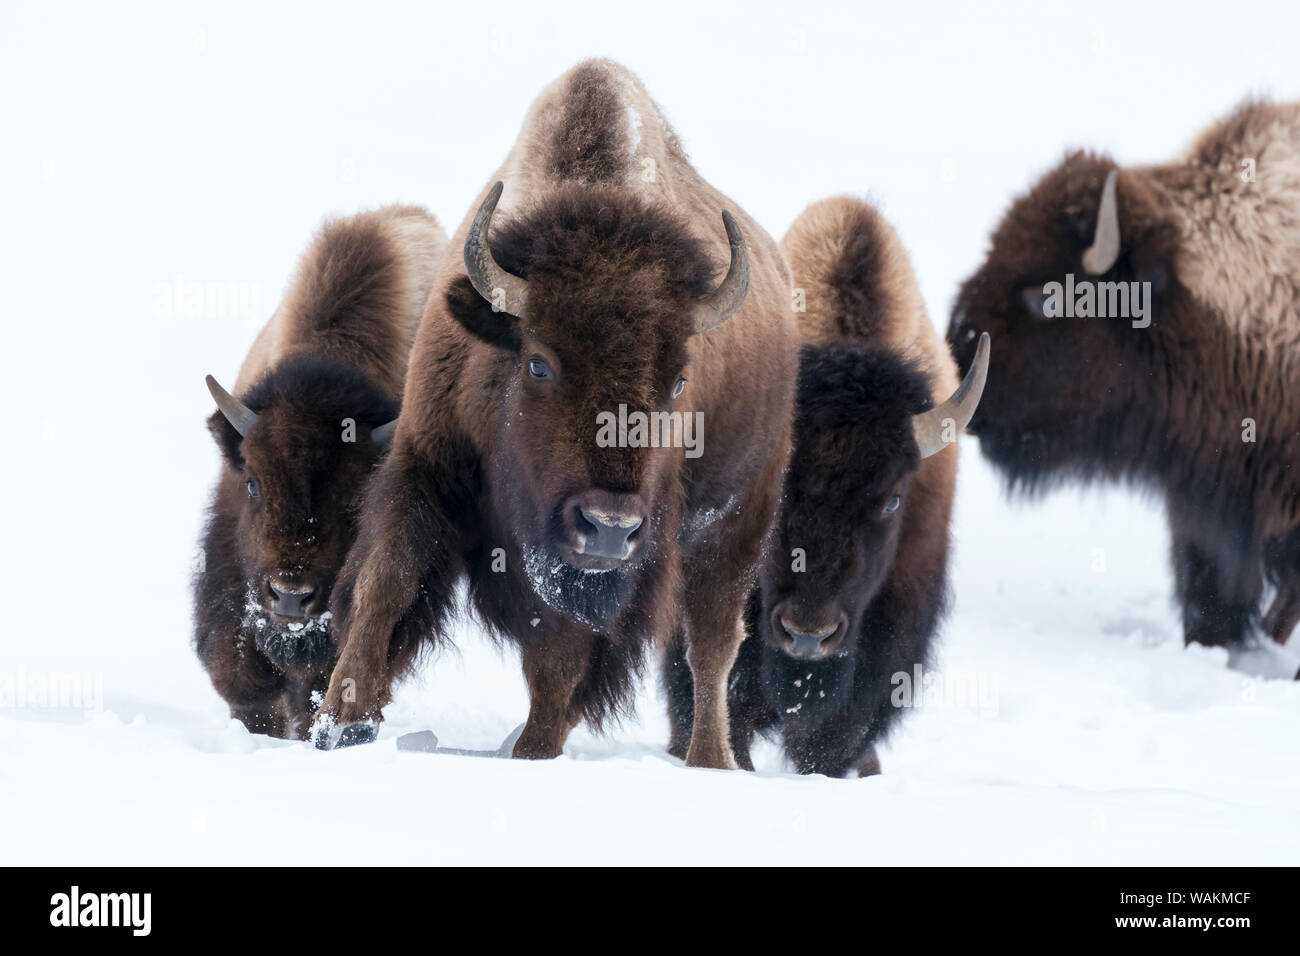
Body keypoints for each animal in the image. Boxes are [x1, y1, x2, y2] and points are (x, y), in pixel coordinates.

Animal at [312, 59, 800, 764]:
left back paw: (709, 759)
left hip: (737, 522)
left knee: (711, 644)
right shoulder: (426, 461)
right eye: (539, 363)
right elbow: (388, 580)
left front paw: (533, 754)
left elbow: (560, 654)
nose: (609, 527)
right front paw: (338, 722)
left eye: (679, 380)